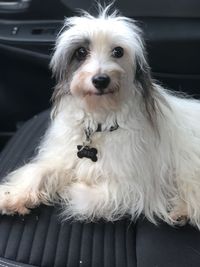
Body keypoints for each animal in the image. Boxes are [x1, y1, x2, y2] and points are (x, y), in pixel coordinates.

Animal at [0, 5, 200, 229]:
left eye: (118, 51)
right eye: (81, 52)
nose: (101, 80)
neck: (99, 121)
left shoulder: (135, 186)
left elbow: (90, 196)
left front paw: (70, 187)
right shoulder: (64, 155)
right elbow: (40, 171)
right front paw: (13, 194)